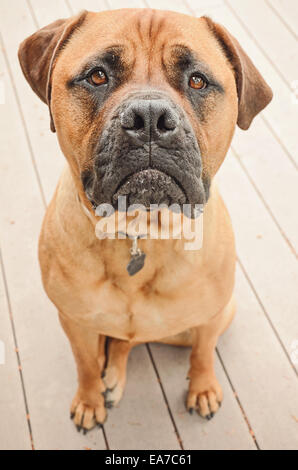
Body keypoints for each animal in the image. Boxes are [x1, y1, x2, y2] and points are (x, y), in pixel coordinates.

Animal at [17, 8, 272, 434]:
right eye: (97, 75)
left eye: (197, 80)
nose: (150, 117)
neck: (141, 230)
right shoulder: (74, 321)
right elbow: (85, 364)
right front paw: (89, 398)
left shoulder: (211, 315)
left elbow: (204, 352)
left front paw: (203, 387)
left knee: (137, 338)